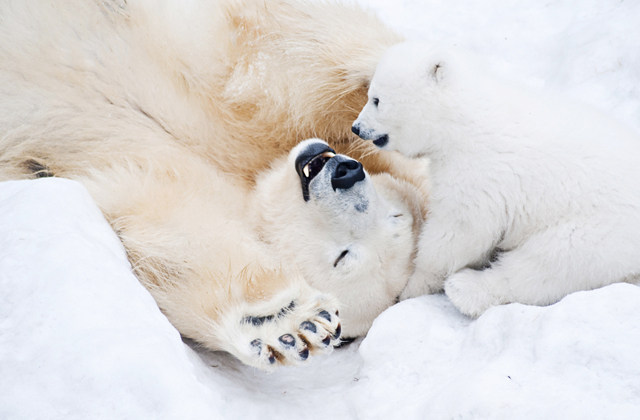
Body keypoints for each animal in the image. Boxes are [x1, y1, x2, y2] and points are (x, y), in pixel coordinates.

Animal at [0, 0, 430, 370]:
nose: (346, 173)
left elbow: (174, 236)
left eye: (344, 256)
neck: (247, 169)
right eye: (395, 213)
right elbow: (281, 50)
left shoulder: (157, 178)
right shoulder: (231, 88)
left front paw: (285, 321)